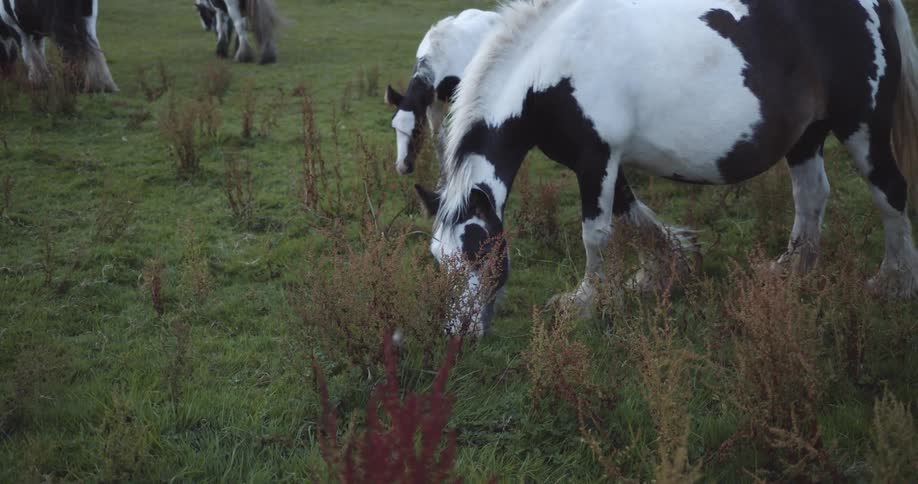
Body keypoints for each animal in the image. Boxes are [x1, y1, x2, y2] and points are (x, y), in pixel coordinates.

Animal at [417, 0, 918, 335]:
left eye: (479, 251)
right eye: (438, 260)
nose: (458, 333)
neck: (554, 66)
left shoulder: (596, 157)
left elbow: (596, 235)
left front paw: (586, 301)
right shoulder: (601, 160)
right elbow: (631, 218)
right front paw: (660, 271)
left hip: (862, 126)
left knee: (890, 192)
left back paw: (892, 282)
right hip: (807, 135)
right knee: (811, 196)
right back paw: (792, 269)